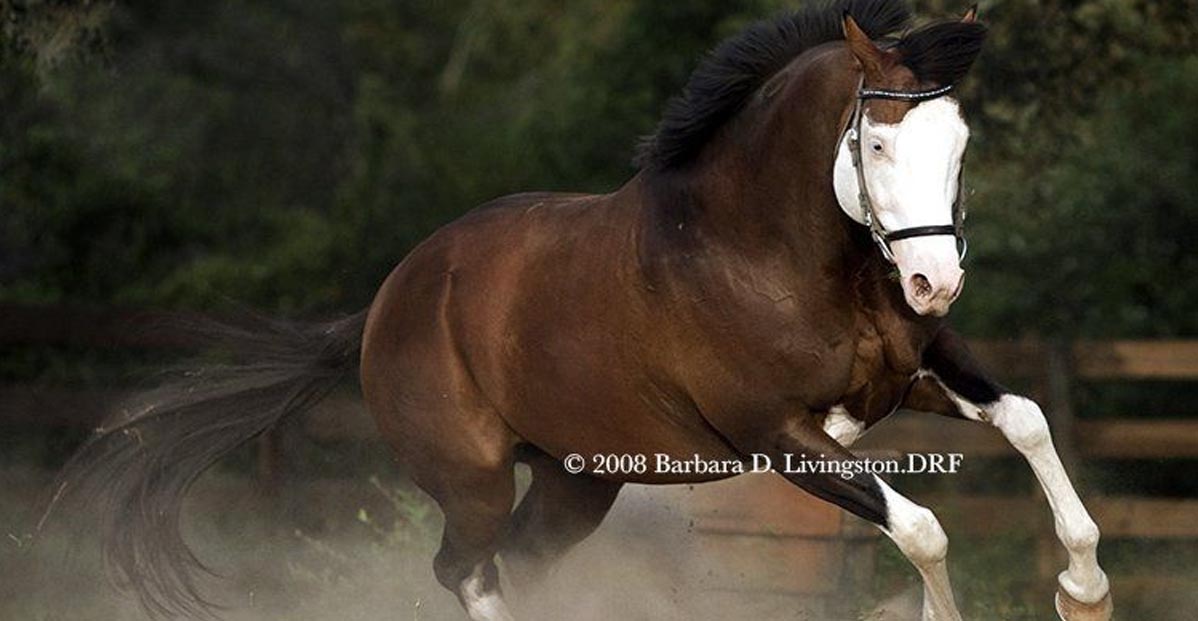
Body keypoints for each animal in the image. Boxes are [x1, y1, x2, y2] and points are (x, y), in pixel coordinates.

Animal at [49, 1, 1111, 621]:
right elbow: (922, 526)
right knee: (467, 569)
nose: (933, 284)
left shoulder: (913, 378)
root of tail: (386, 304)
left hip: (577, 478)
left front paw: (1083, 589)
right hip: (475, 478)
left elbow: (1027, 420)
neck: (770, 253)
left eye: (960, 139)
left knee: (519, 562)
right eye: (878, 144)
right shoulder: (778, 436)